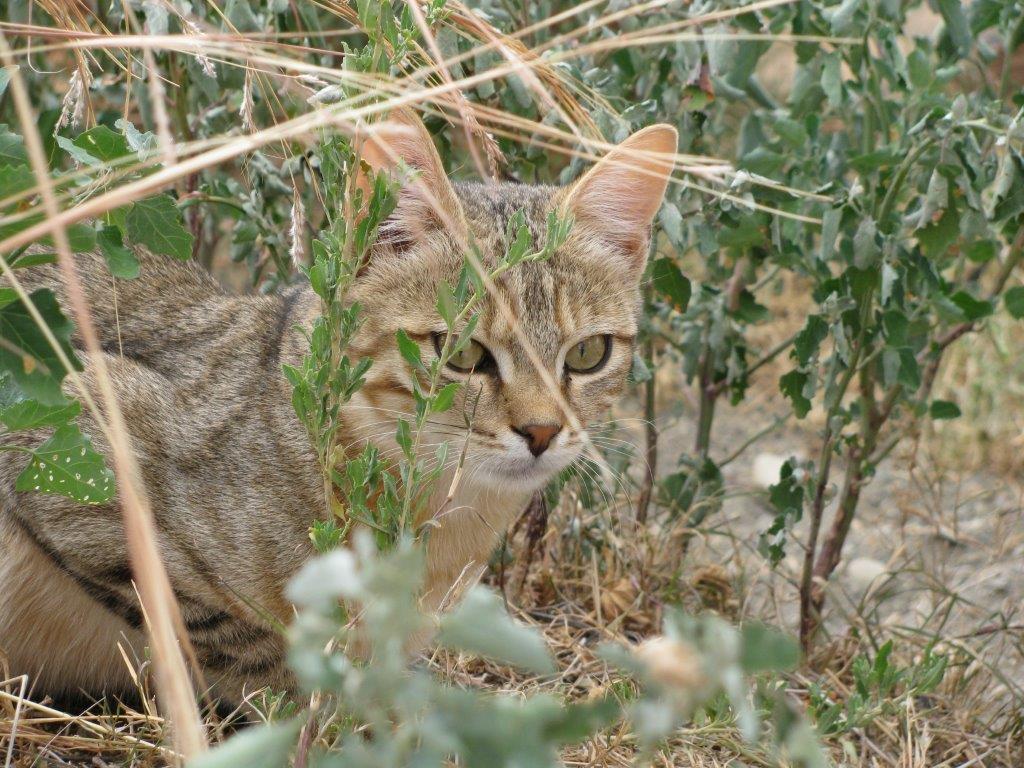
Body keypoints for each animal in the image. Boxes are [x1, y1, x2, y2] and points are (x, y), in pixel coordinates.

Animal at [0, 111, 679, 708]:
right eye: (461, 353)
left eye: (588, 352)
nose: (541, 430)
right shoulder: (76, 437)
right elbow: (250, 646)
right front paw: (327, 710)